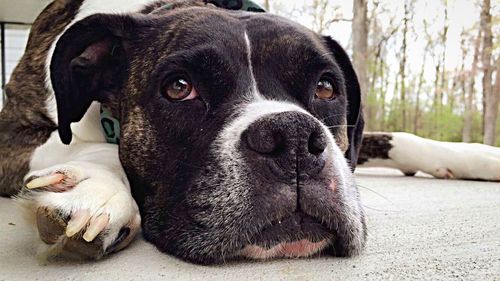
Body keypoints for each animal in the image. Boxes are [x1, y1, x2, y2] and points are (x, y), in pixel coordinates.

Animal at [0, 0, 368, 264]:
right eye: (179, 88)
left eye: (325, 88)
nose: (293, 137)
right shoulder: (13, 134)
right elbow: (91, 146)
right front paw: (95, 189)